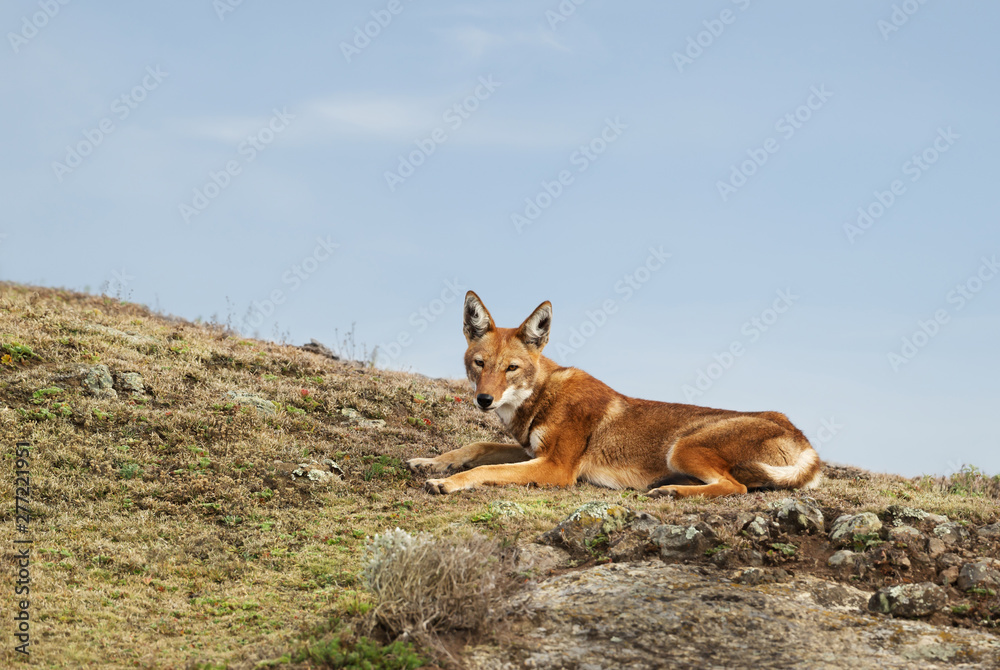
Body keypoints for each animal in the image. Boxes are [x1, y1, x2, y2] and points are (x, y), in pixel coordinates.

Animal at [406, 291, 821, 498]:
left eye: (511, 368)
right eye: (480, 364)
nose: (484, 400)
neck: (543, 398)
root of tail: (800, 434)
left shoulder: (556, 468)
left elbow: (486, 469)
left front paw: (447, 483)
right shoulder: (531, 452)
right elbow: (476, 448)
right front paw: (431, 463)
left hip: (683, 448)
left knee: (735, 487)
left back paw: (671, 492)